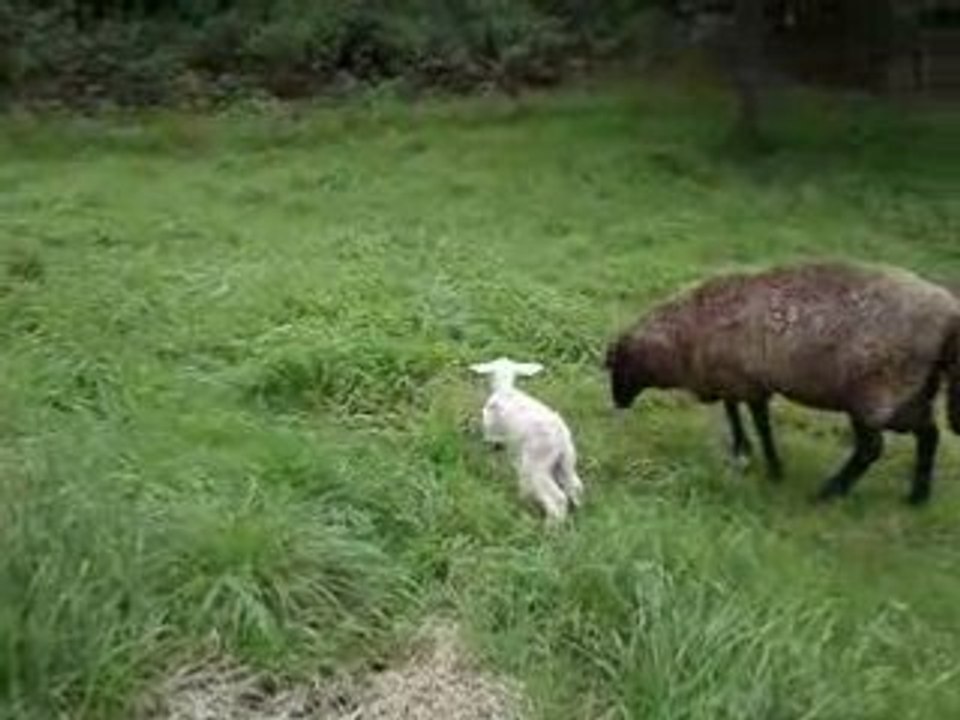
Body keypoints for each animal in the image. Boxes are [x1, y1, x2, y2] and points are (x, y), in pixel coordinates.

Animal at [470, 357, 584, 523]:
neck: (505, 390)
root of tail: (561, 437)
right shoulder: (515, 448)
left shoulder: (493, 433)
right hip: (566, 460)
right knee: (575, 485)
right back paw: (576, 509)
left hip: (538, 463)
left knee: (557, 498)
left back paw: (550, 525)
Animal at [604, 261, 960, 506]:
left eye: (618, 366)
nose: (617, 404)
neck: (688, 335)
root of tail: (949, 315)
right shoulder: (737, 381)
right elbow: (733, 411)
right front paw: (742, 450)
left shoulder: (749, 382)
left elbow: (760, 424)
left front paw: (774, 468)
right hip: (911, 392)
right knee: (929, 434)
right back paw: (918, 497)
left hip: (874, 392)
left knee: (872, 448)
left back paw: (829, 492)